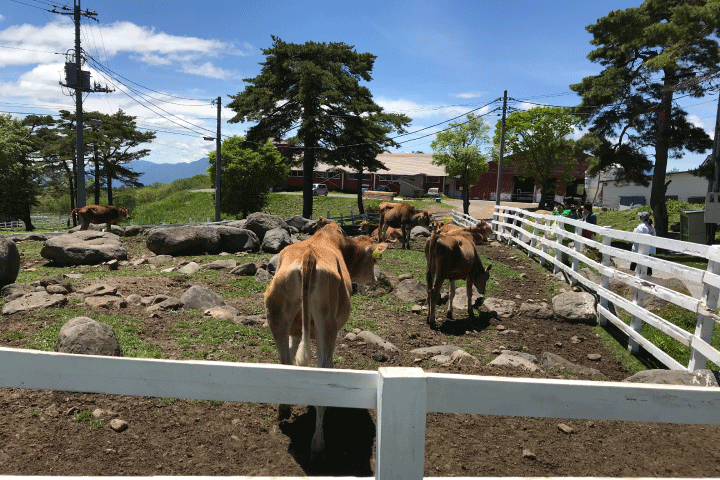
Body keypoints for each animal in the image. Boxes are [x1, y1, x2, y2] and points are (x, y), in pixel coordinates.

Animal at [264, 221, 388, 458]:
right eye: (373, 260)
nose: (376, 280)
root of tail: (308, 257)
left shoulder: (295, 331)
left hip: (276, 315)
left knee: (285, 362)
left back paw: (284, 410)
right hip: (327, 324)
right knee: (323, 368)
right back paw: (318, 443)